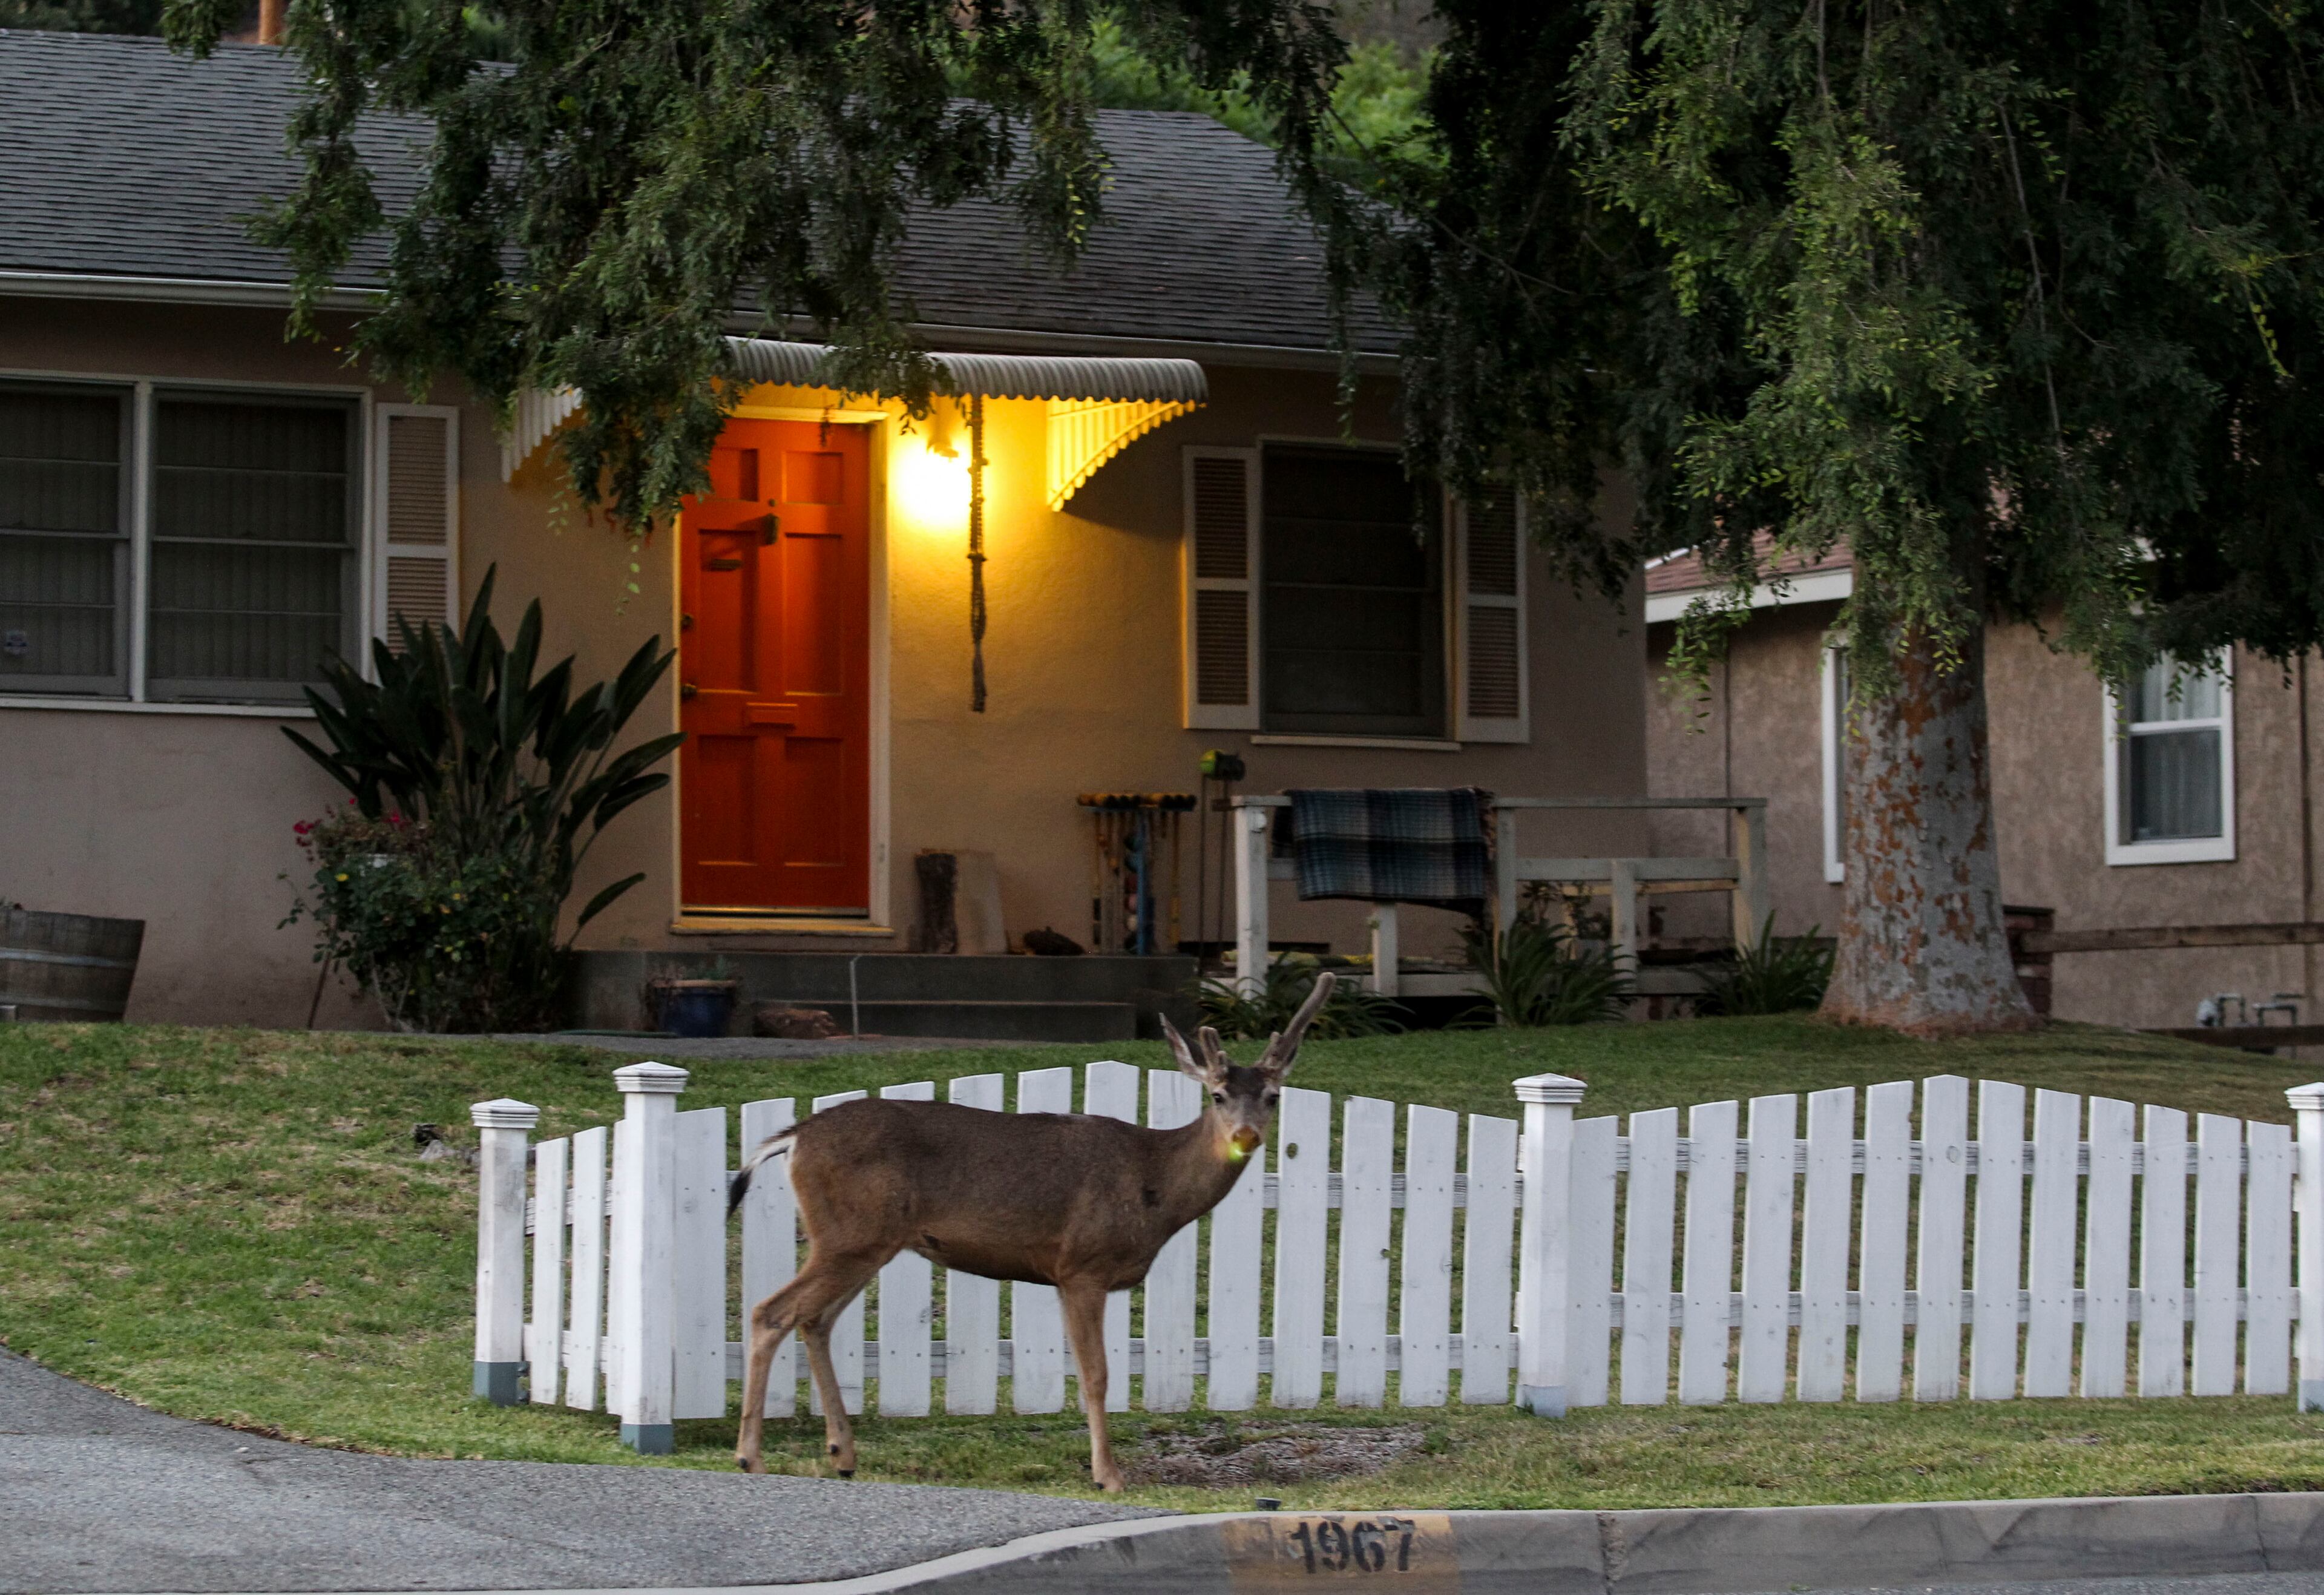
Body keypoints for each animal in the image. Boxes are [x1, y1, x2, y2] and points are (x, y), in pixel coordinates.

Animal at [725, 971, 1337, 1493]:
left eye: (1273, 1096)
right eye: (1217, 1094)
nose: (1245, 1136)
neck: (1155, 1186)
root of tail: (795, 1136)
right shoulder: (1082, 1265)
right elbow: (1096, 1374)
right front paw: (1108, 1476)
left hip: (867, 1241)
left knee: (815, 1319)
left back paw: (842, 1454)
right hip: (851, 1233)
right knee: (771, 1312)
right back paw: (750, 1457)